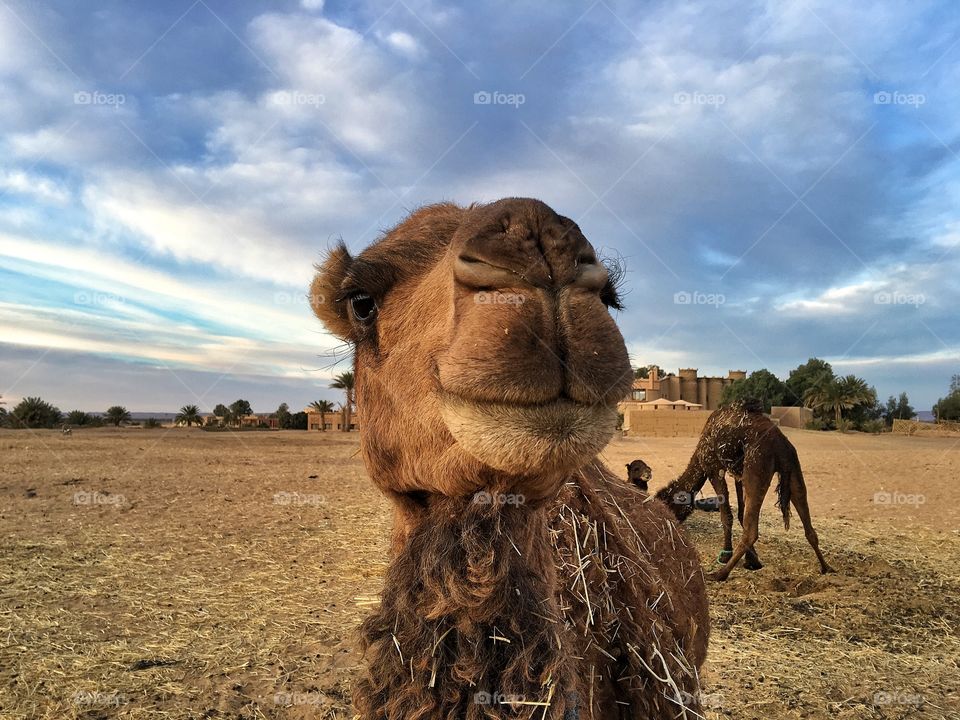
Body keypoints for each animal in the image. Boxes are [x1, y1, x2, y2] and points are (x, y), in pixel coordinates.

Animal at [656, 400, 834, 581]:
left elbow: (726, 514)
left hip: (757, 467)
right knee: (807, 523)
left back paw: (720, 573)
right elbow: (740, 512)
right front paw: (752, 560)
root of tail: (780, 445)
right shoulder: (738, 475)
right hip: (792, 467)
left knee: (752, 531)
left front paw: (726, 555)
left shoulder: (714, 468)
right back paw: (827, 567)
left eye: (668, 505)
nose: (668, 525)